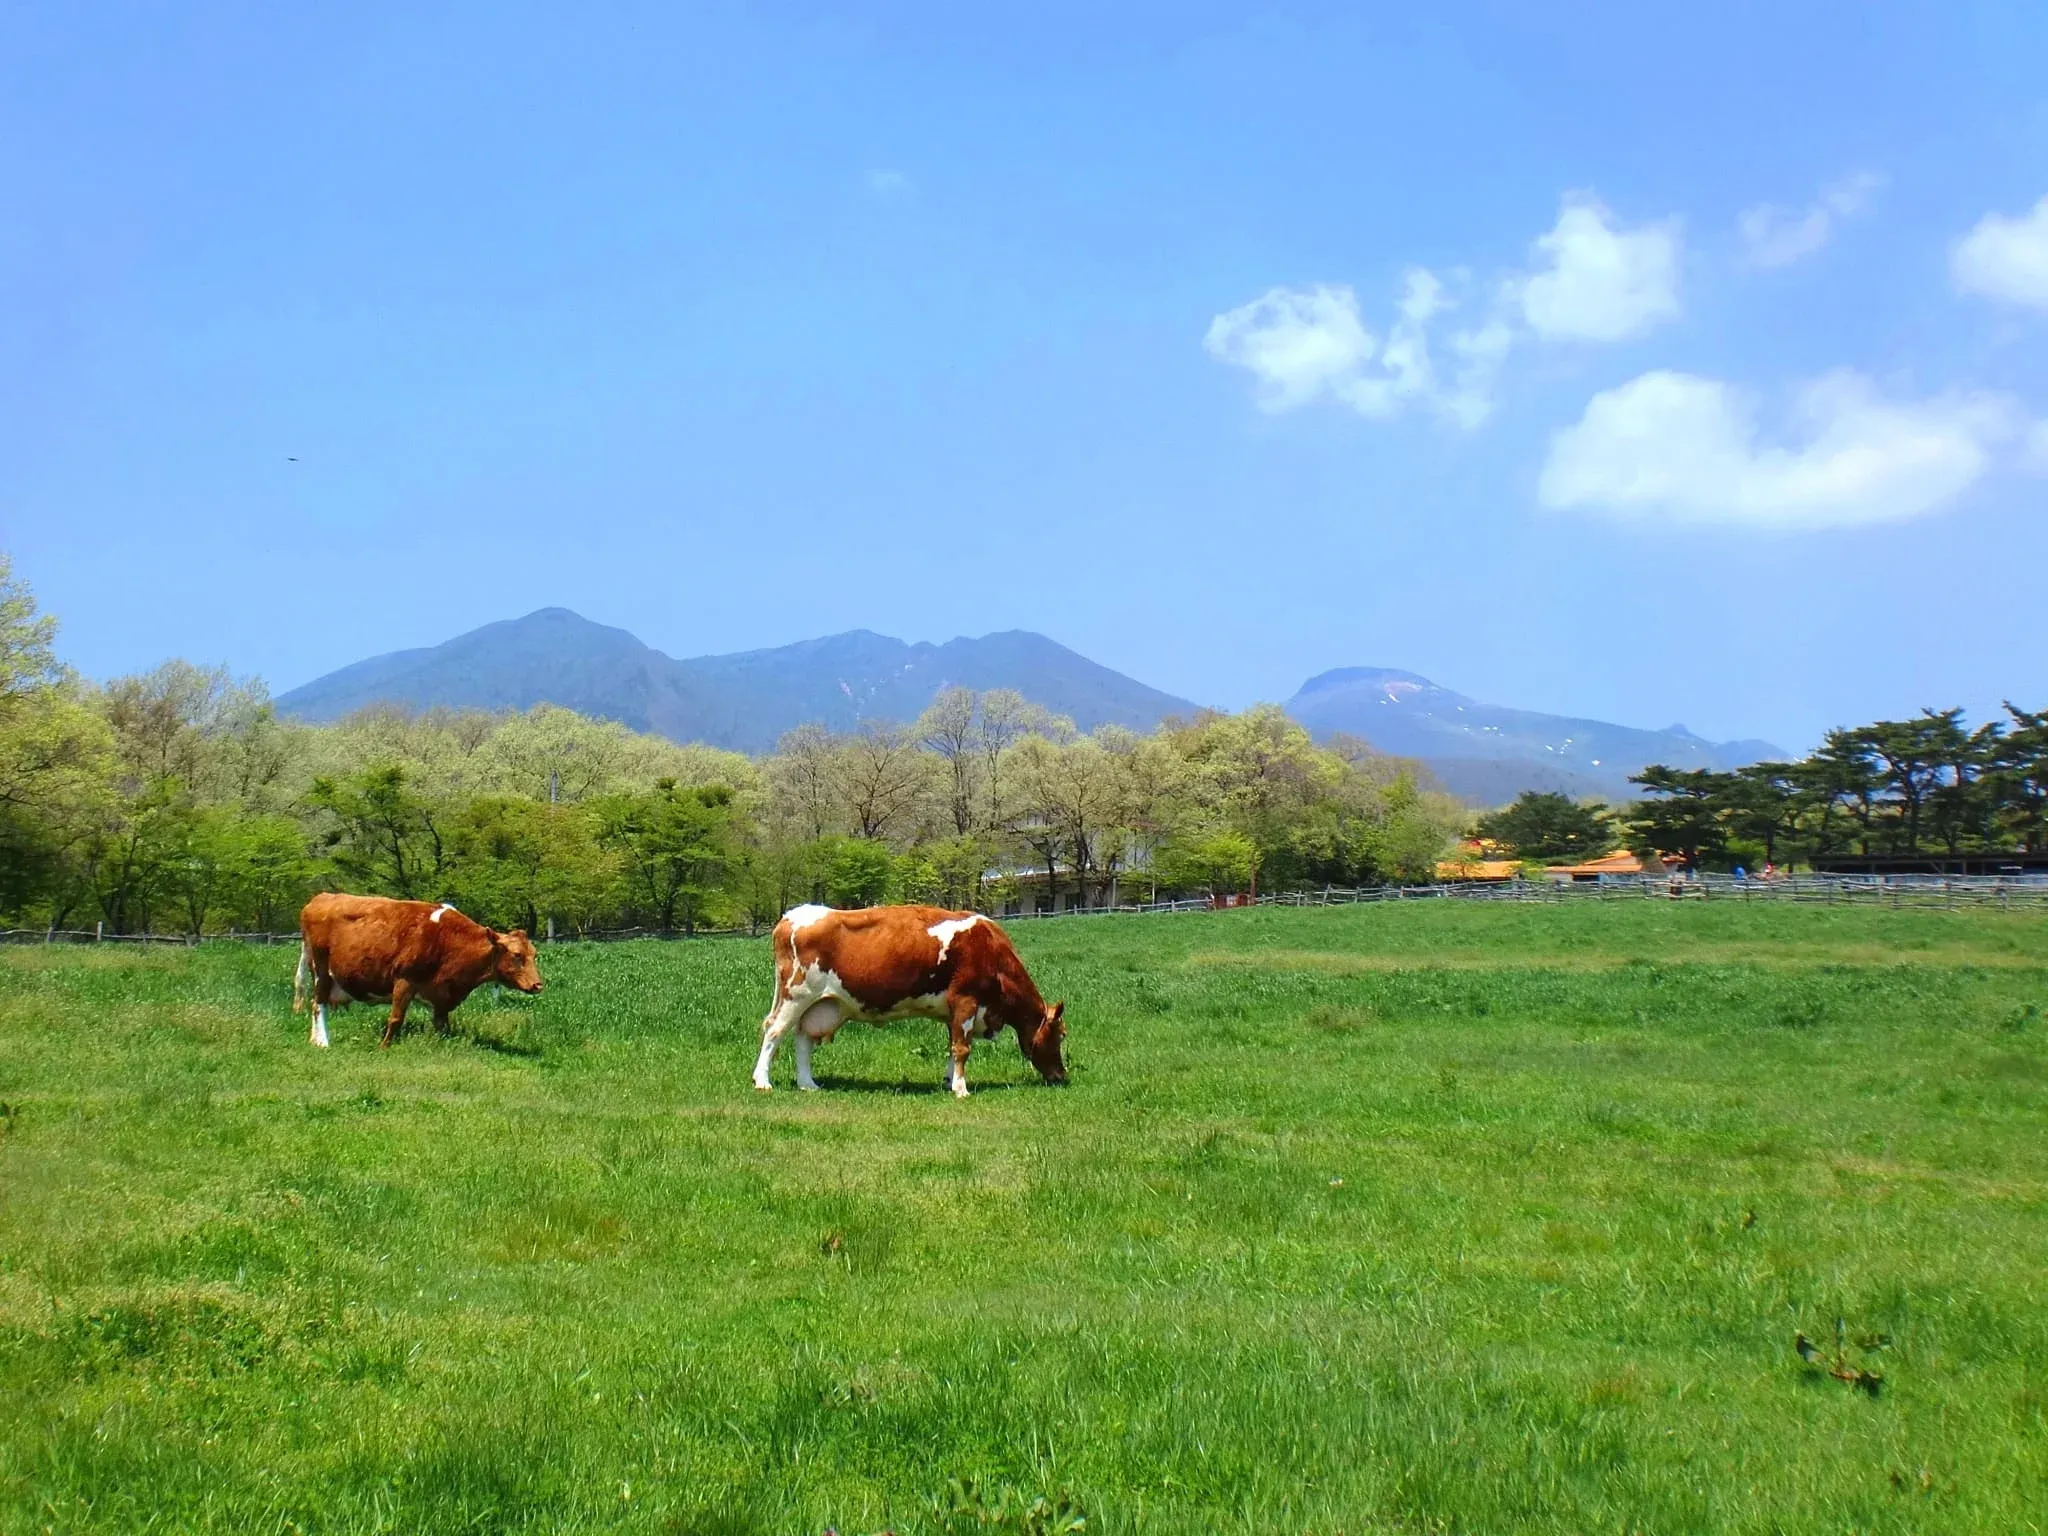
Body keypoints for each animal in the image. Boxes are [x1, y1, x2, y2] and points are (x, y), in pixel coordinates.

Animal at [294, 897, 544, 1056]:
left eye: (534, 954)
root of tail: (320, 898)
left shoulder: (442, 995)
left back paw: (314, 1040)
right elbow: (396, 1018)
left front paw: (441, 1044)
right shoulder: (405, 979)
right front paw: (384, 1047)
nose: (537, 985)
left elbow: (442, 1025)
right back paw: (323, 1042)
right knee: (318, 1005)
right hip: (321, 970)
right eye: (517, 955)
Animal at [753, 909, 1073, 1097]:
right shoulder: (966, 1001)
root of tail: (793, 915)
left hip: (819, 1004)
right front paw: (961, 1089)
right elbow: (963, 1048)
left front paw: (948, 1081)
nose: (1061, 1076)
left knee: (803, 1038)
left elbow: (952, 1045)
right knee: (774, 1031)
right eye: (1060, 1034)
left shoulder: (953, 1012)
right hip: (796, 994)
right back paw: (762, 1081)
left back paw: (807, 1083)